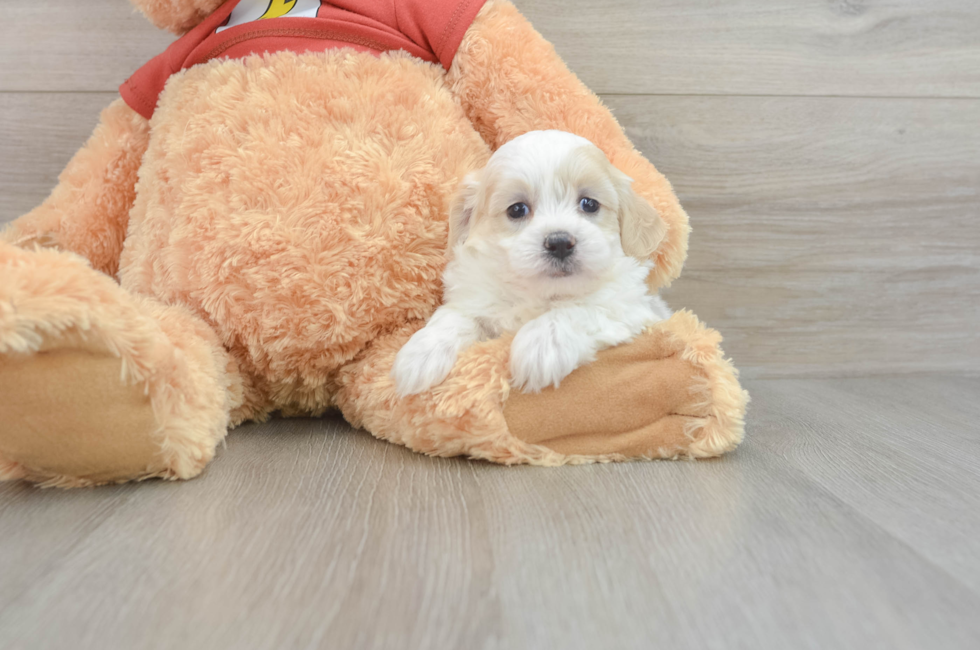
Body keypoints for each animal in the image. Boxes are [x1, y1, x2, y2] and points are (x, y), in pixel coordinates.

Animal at [390, 129, 672, 394]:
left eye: (589, 204)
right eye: (517, 209)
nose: (560, 242)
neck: (541, 293)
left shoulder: (631, 309)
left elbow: (583, 307)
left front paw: (542, 345)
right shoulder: (476, 297)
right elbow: (455, 315)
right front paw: (421, 353)